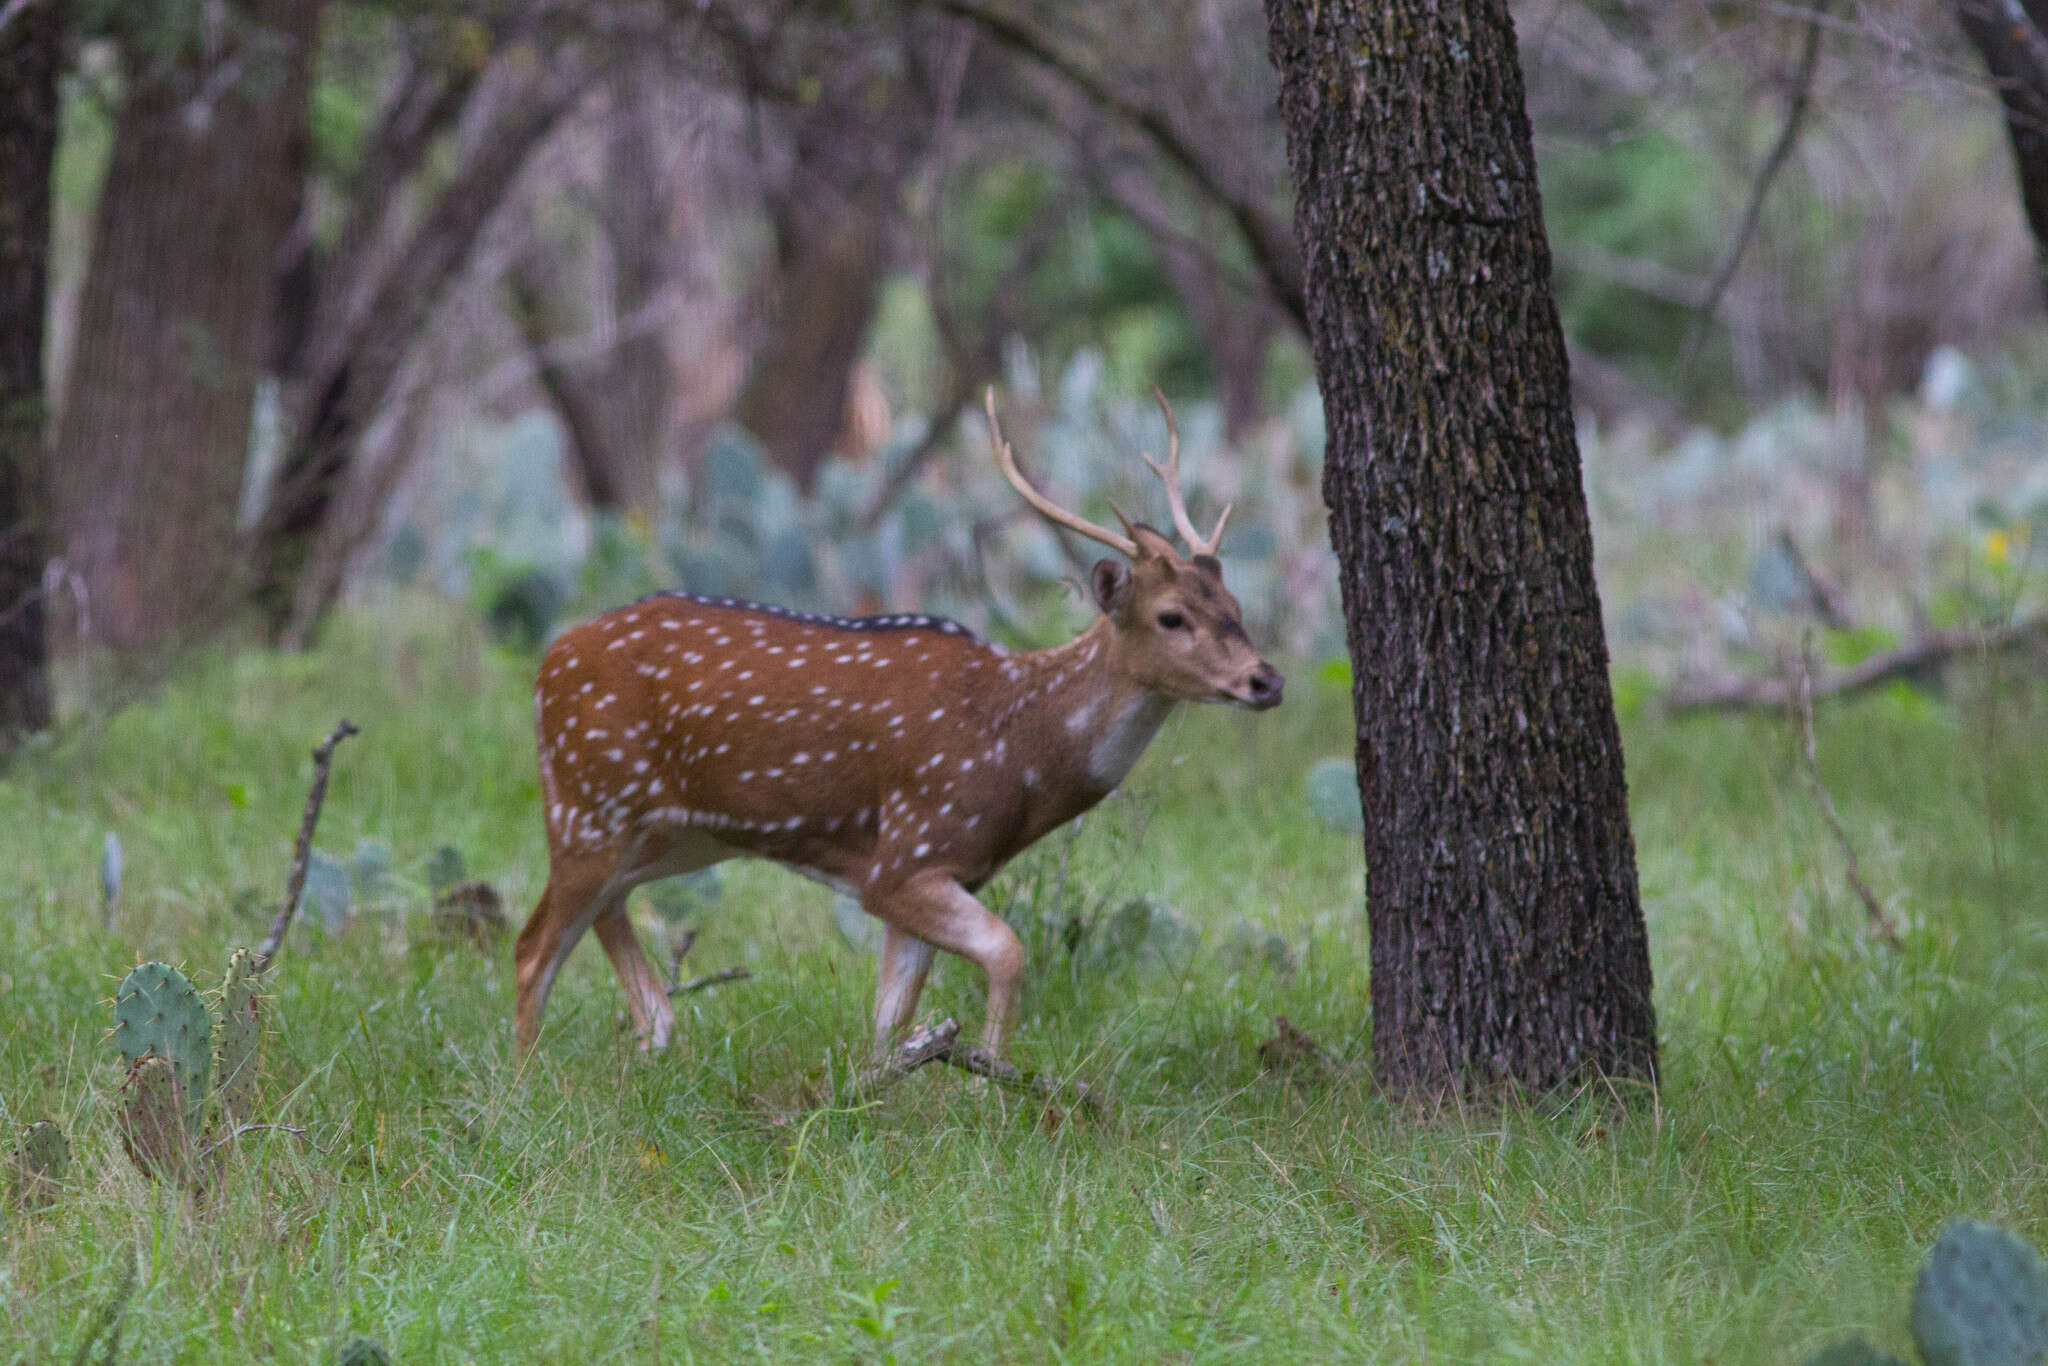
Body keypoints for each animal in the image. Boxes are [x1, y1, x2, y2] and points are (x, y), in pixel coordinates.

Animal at [512, 389, 1277, 1064]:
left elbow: (889, 1020)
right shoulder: (907, 853)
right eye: (1171, 616)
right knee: (532, 944)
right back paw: (525, 1087)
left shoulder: (938, 867)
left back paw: (651, 1041)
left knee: (607, 919)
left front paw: (884, 1096)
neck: (1017, 750)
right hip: (589, 803)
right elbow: (1009, 952)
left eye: (1236, 605)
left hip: (668, 832)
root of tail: (549, 660)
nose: (1266, 679)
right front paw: (992, 1089)